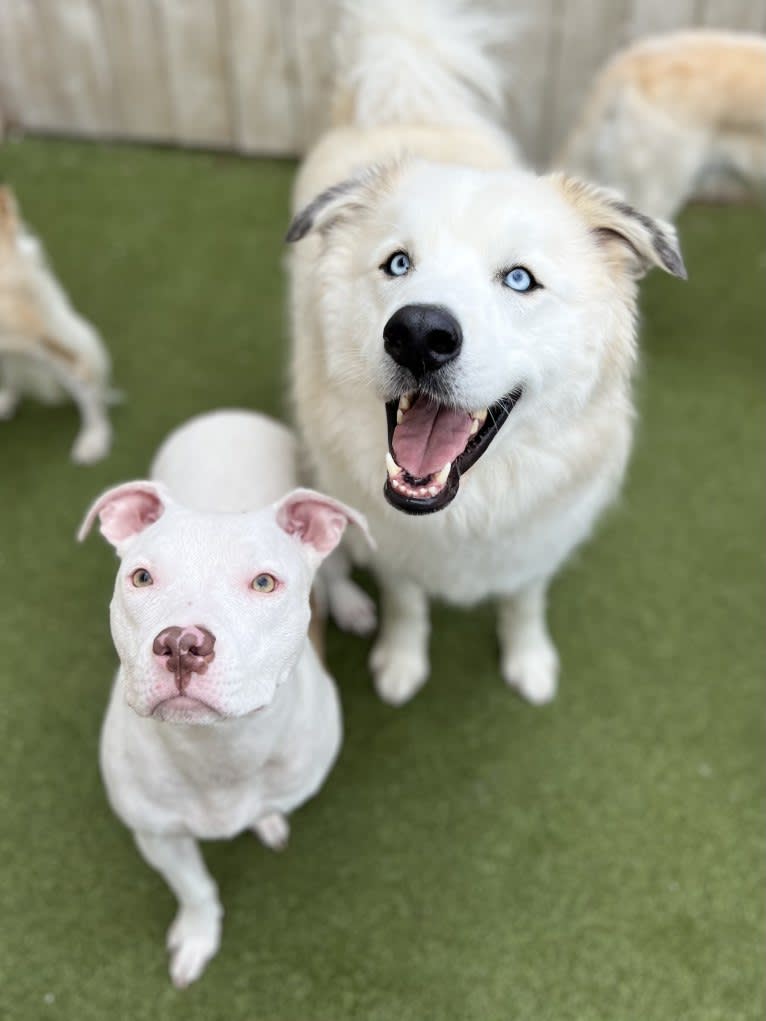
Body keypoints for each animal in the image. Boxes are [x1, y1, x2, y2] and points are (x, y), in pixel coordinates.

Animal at [79, 408, 373, 988]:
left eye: (264, 583)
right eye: (140, 577)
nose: (180, 644)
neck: (218, 751)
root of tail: (227, 417)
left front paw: (265, 819)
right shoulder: (157, 835)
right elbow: (195, 888)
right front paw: (198, 936)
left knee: (333, 571)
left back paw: (350, 603)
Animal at [285, 0, 686, 706]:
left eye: (520, 279)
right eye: (397, 264)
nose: (418, 334)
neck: (467, 509)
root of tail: (403, 100)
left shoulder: (537, 547)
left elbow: (523, 602)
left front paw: (529, 661)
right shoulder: (396, 548)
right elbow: (406, 601)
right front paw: (400, 661)